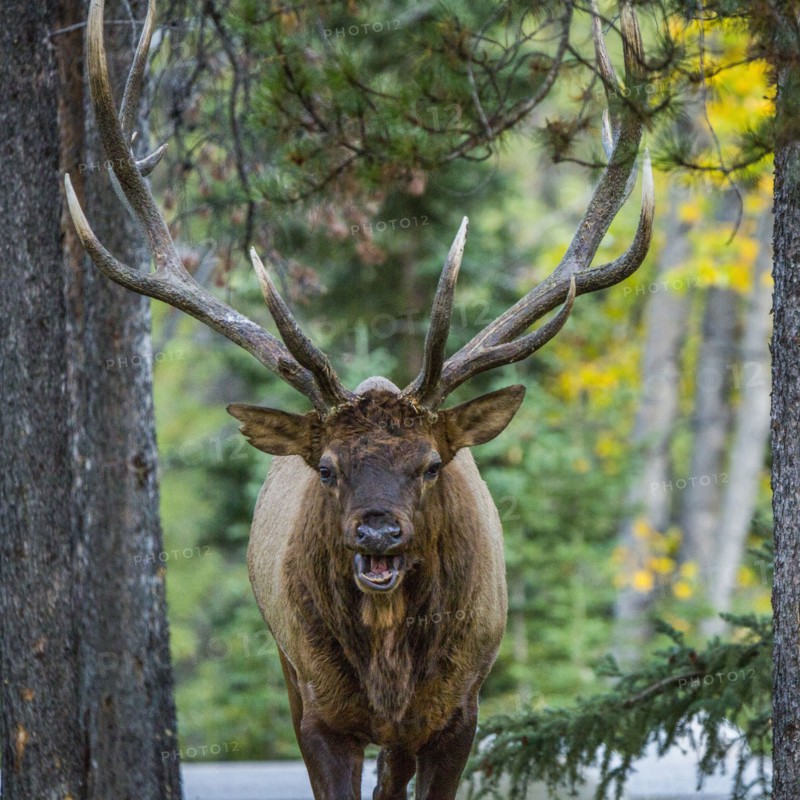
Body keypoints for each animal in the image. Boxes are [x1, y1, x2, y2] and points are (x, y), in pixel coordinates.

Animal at [64, 0, 653, 797]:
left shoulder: (460, 714)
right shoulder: (318, 713)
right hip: (290, 669)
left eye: (432, 464)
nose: (377, 532)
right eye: (327, 467)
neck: (390, 667)